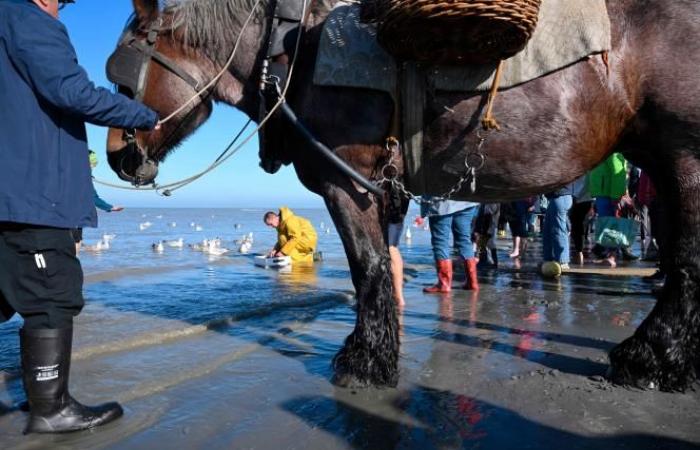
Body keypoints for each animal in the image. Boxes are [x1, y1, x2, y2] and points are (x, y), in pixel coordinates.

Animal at [105, 0, 700, 390]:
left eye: (121, 79)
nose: (114, 156)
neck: (291, 49)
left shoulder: (346, 181)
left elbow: (367, 267)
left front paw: (365, 359)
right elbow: (377, 266)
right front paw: (378, 350)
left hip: (683, 155)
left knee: (687, 260)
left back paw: (654, 356)